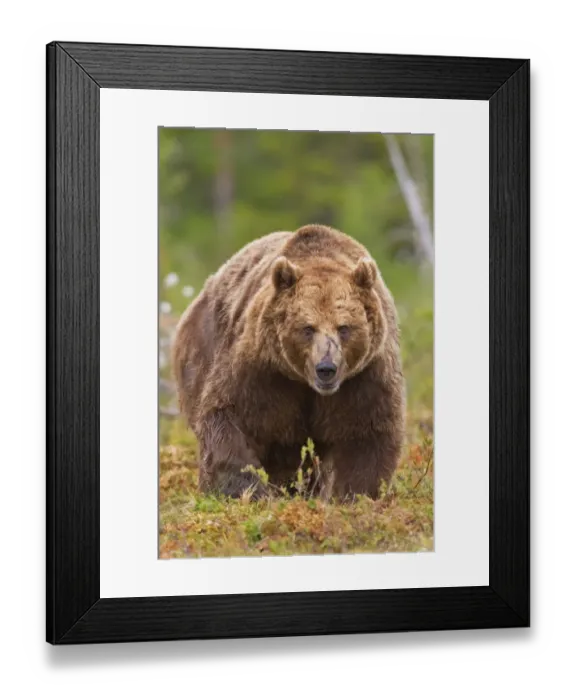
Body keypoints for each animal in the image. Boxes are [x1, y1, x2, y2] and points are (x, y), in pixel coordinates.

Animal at [171, 224, 406, 501]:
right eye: (307, 328)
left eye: (344, 328)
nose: (326, 368)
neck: (306, 384)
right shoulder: (263, 370)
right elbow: (231, 415)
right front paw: (245, 491)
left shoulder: (363, 376)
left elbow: (366, 431)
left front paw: (354, 495)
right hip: (200, 356)